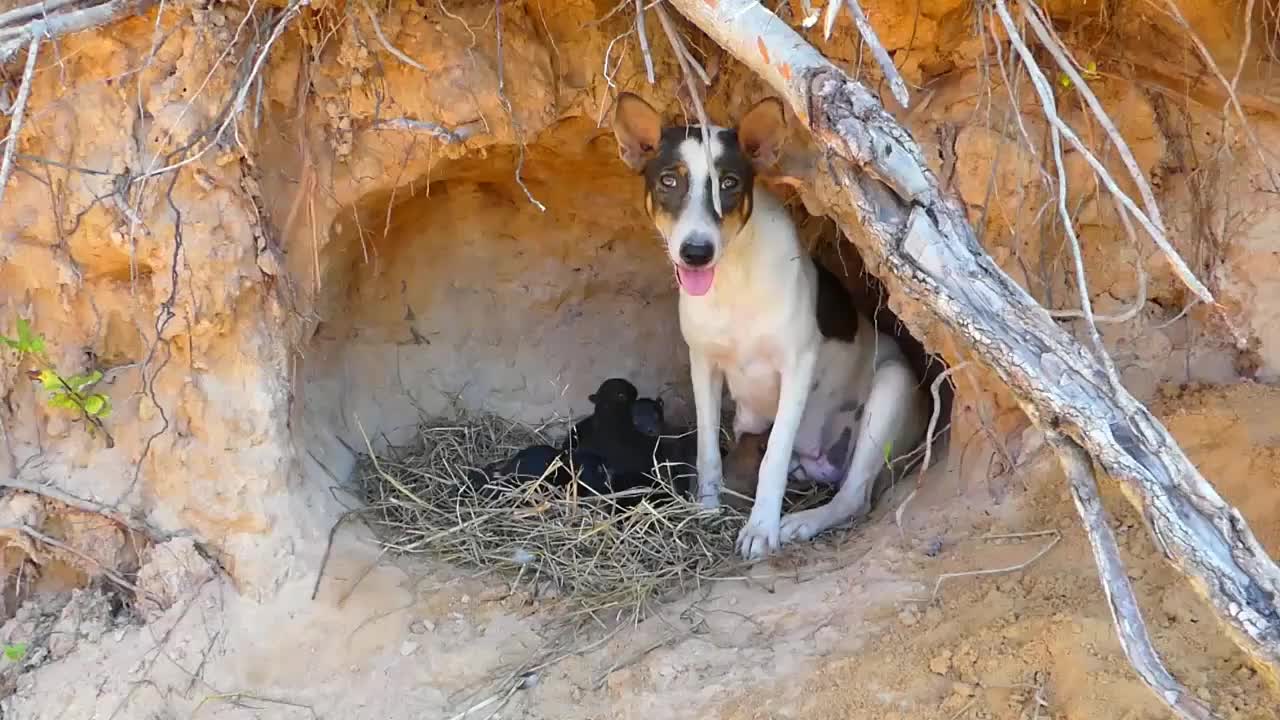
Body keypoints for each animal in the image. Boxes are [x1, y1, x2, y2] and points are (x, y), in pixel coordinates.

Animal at [611, 92, 931, 558]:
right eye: (669, 181)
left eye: (729, 183)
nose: (695, 252)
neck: (732, 280)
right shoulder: (703, 364)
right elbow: (708, 448)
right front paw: (706, 508)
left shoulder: (797, 366)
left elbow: (774, 455)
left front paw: (762, 527)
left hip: (892, 386)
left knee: (853, 496)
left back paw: (804, 520)